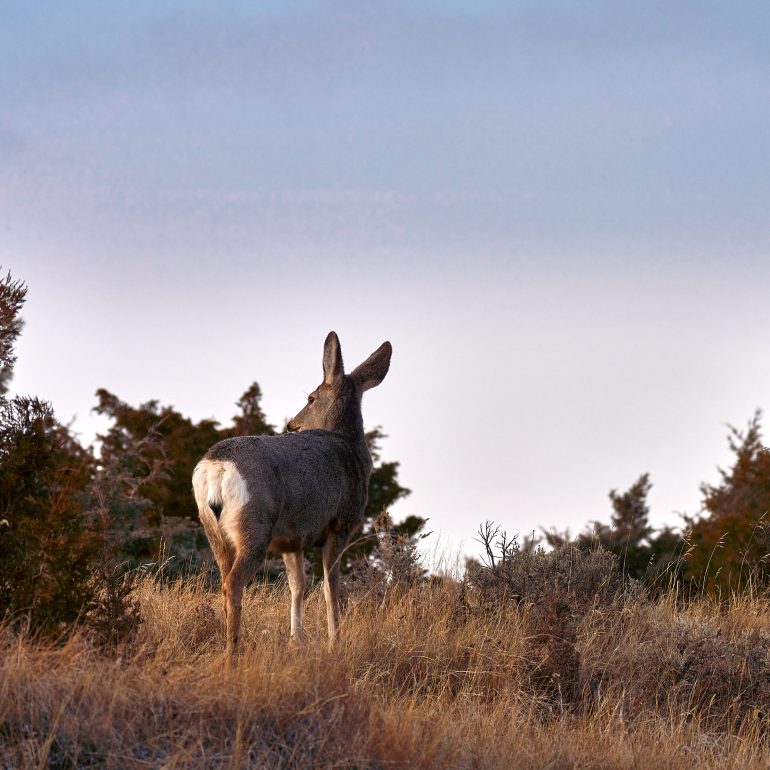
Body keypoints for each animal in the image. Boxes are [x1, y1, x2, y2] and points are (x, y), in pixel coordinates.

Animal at [192, 331, 391, 656]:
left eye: (310, 398)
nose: (292, 424)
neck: (349, 448)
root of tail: (216, 467)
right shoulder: (340, 524)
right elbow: (330, 587)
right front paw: (334, 641)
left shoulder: (292, 539)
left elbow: (298, 587)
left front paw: (295, 640)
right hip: (255, 526)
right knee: (233, 583)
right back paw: (232, 652)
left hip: (213, 530)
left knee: (223, 580)